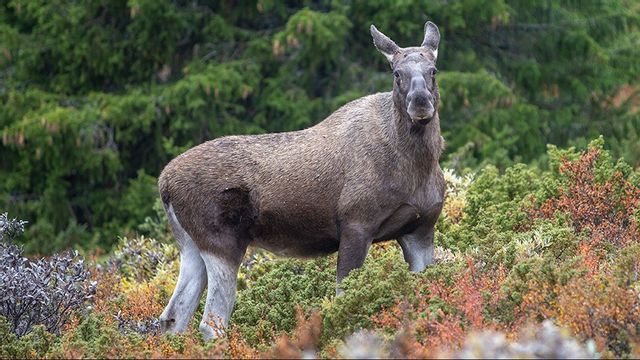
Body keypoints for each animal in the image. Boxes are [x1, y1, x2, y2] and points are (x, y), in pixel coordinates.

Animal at [158, 21, 444, 338]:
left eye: (433, 70)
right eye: (396, 73)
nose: (420, 103)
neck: (416, 165)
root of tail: (164, 183)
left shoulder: (420, 229)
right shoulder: (356, 225)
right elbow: (345, 300)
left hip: (190, 246)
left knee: (172, 316)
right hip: (222, 242)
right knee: (210, 322)